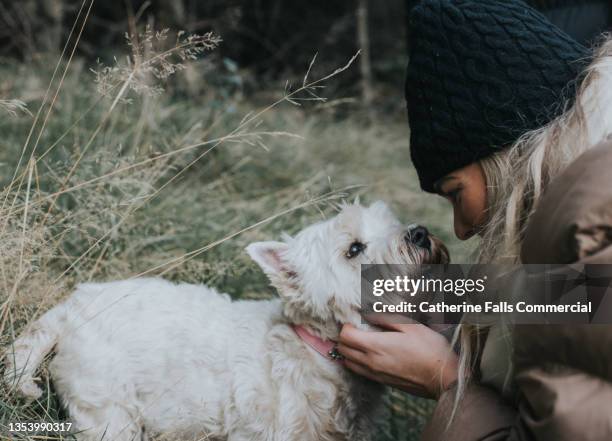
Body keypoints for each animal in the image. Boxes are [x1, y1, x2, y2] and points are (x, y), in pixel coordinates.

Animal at [2, 201, 448, 438]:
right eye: (354, 249)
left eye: (389, 219)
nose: (420, 234)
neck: (315, 351)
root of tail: (73, 306)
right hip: (110, 411)